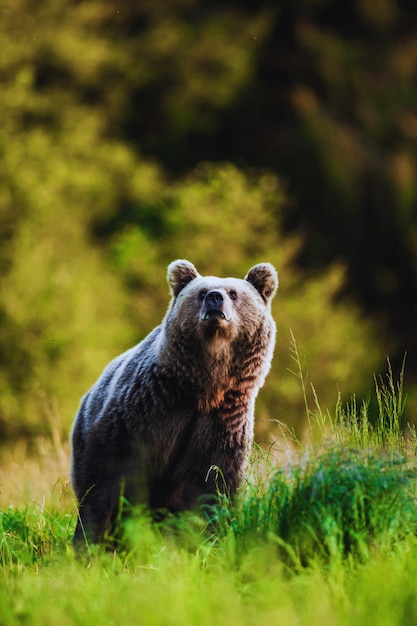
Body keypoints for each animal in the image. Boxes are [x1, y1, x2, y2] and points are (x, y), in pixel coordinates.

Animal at [70, 258, 278, 540]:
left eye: (234, 293)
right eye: (202, 292)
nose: (215, 298)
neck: (204, 388)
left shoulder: (220, 426)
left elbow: (212, 485)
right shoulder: (148, 410)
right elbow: (107, 477)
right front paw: (91, 537)